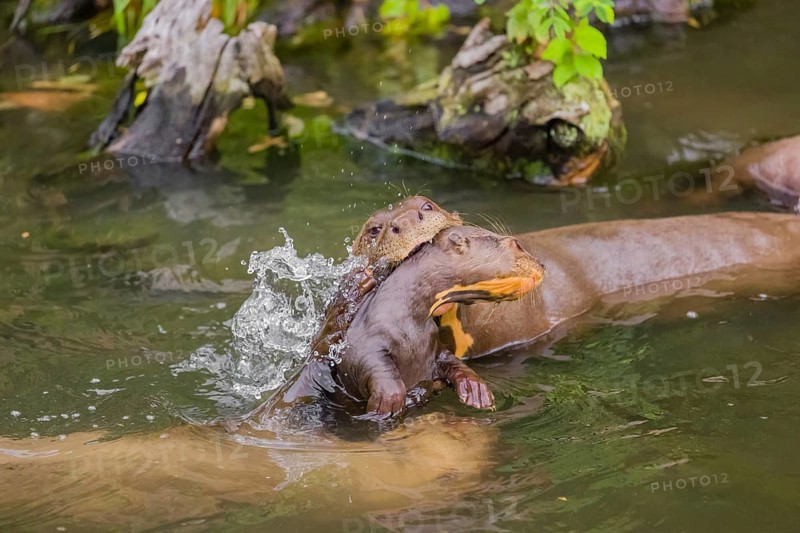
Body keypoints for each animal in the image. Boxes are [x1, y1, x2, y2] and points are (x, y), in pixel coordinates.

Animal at [258, 226, 545, 421]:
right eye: (517, 244)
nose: (542, 265)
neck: (406, 324)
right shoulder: (361, 345)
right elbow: (376, 367)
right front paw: (386, 405)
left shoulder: (433, 347)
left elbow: (453, 362)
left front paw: (476, 390)